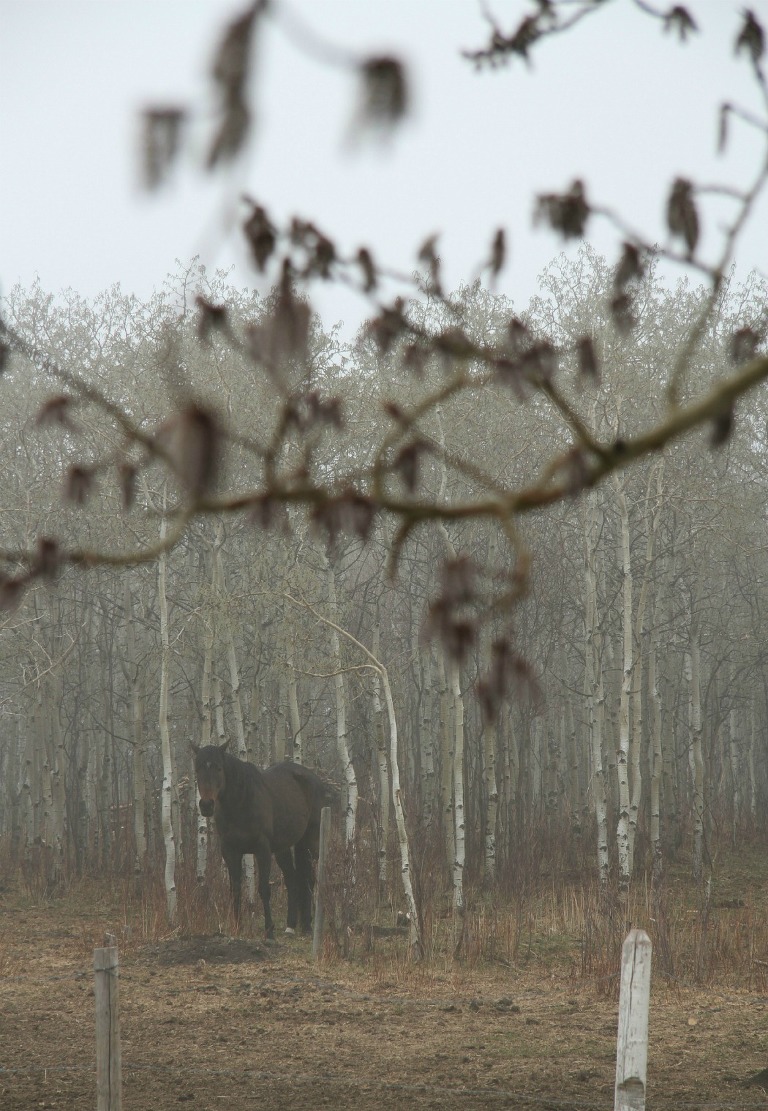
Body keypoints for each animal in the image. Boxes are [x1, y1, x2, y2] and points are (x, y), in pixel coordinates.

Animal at [192, 742, 335, 942]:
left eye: (219, 768)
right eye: (197, 769)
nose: (206, 805)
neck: (241, 803)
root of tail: (314, 779)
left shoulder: (262, 849)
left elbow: (264, 889)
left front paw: (269, 931)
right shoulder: (230, 851)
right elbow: (235, 889)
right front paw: (237, 927)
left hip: (311, 842)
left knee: (309, 879)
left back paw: (307, 926)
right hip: (283, 848)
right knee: (292, 879)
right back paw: (291, 926)